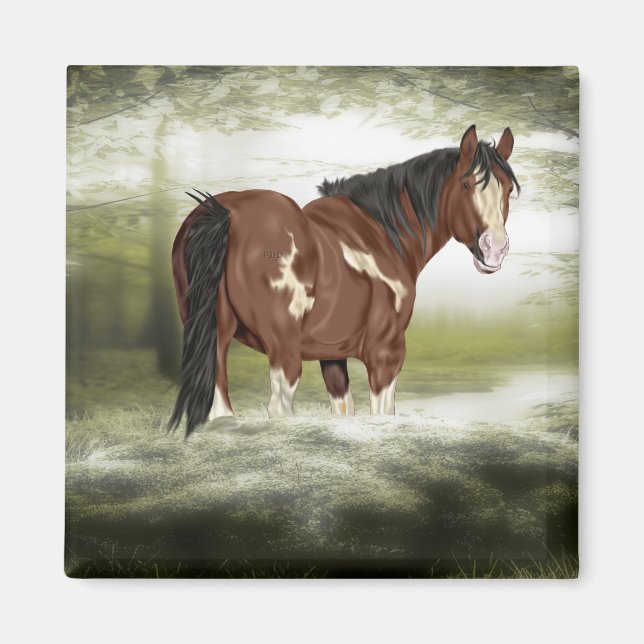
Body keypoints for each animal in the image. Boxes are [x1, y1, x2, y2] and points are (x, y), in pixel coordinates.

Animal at [169, 125, 520, 436]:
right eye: (466, 185)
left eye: (507, 189)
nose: (494, 250)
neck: (381, 231)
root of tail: (224, 213)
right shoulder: (385, 352)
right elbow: (382, 412)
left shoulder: (332, 356)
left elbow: (343, 411)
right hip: (283, 349)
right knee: (279, 407)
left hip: (216, 337)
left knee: (220, 404)